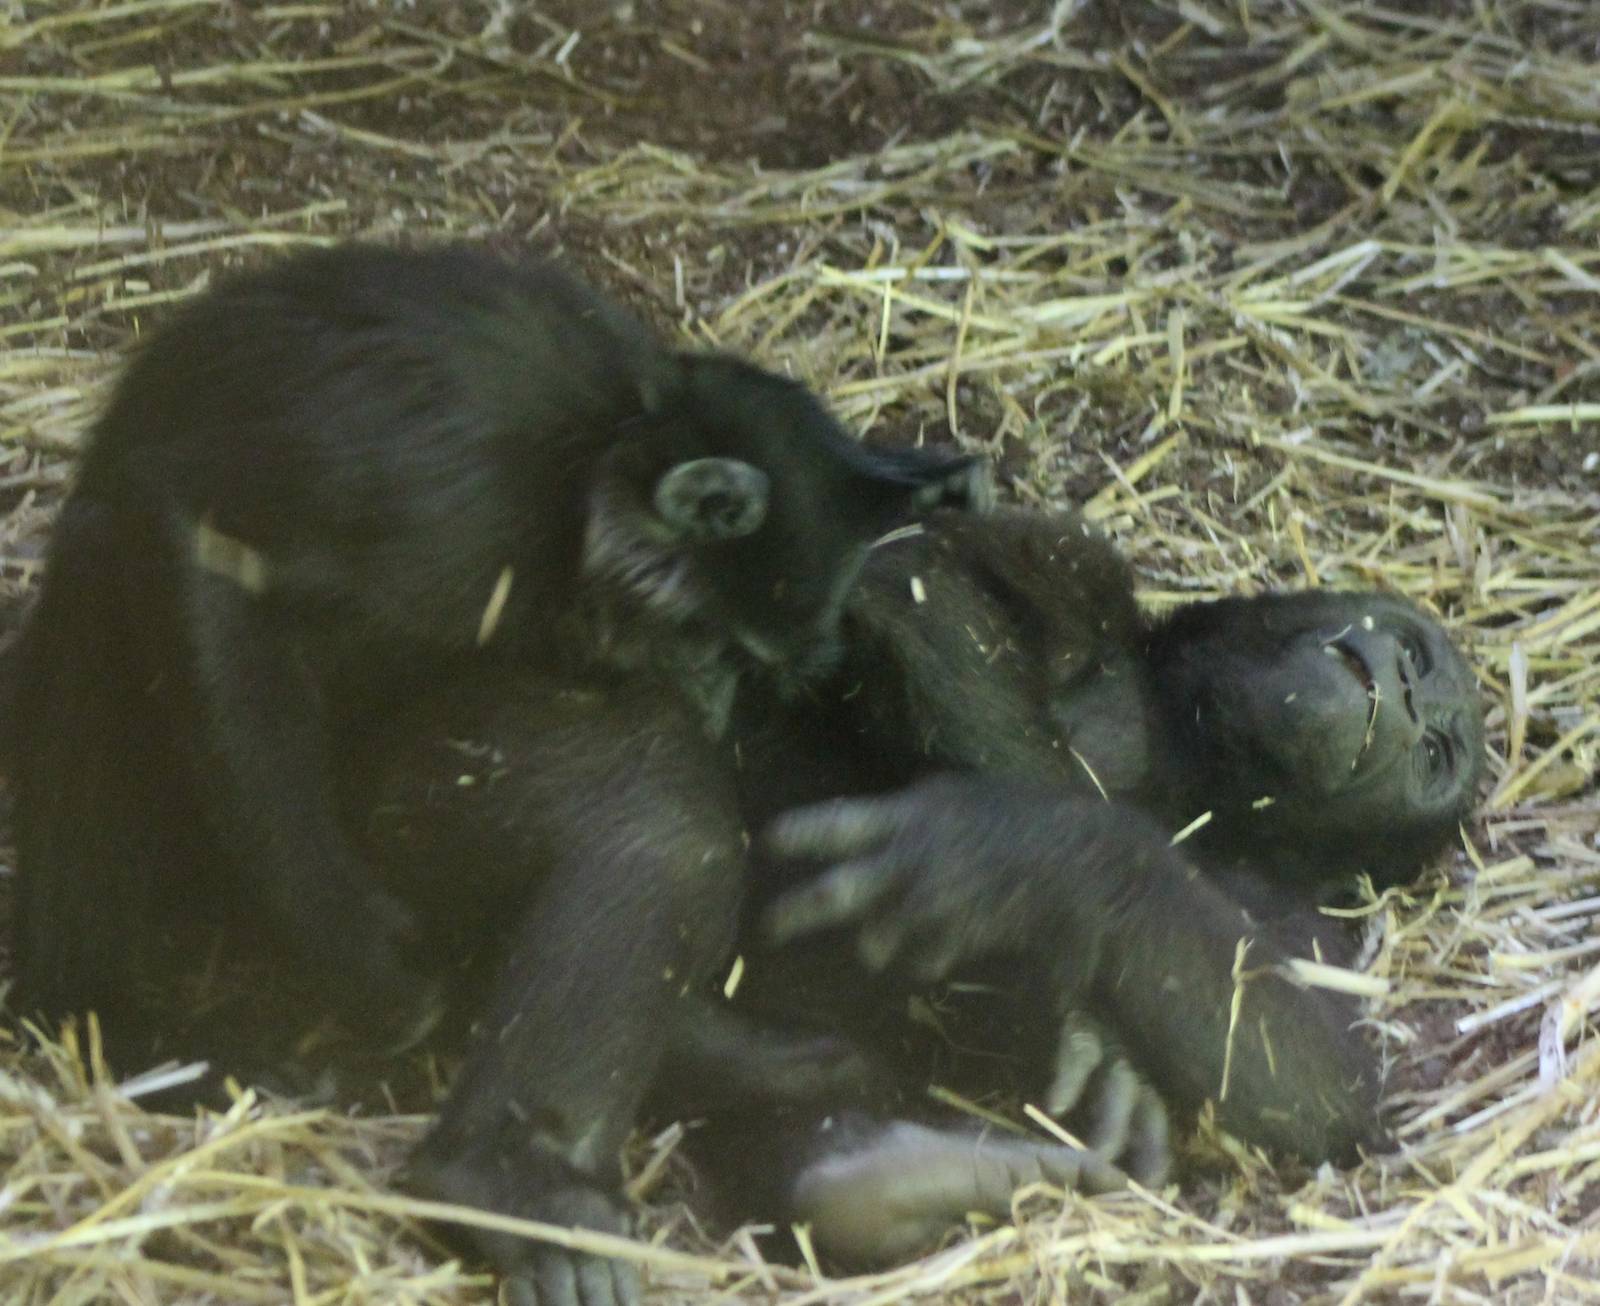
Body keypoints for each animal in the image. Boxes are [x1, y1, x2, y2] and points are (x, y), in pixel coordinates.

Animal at [6, 242, 988, 1306]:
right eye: (723, 645)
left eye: (759, 667)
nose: (721, 701)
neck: (588, 461)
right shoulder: (441, 472)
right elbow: (206, 550)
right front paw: (366, 959)